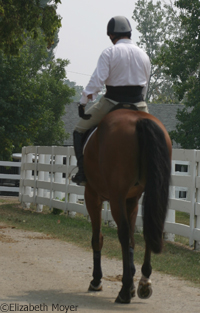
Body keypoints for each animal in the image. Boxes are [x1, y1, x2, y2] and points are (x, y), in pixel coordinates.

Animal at [83, 106, 172, 302]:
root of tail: (139, 119)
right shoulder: (132, 200)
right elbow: (132, 238)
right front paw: (131, 278)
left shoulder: (92, 196)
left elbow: (97, 238)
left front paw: (97, 280)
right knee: (149, 227)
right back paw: (144, 282)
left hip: (115, 197)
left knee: (122, 233)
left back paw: (124, 291)